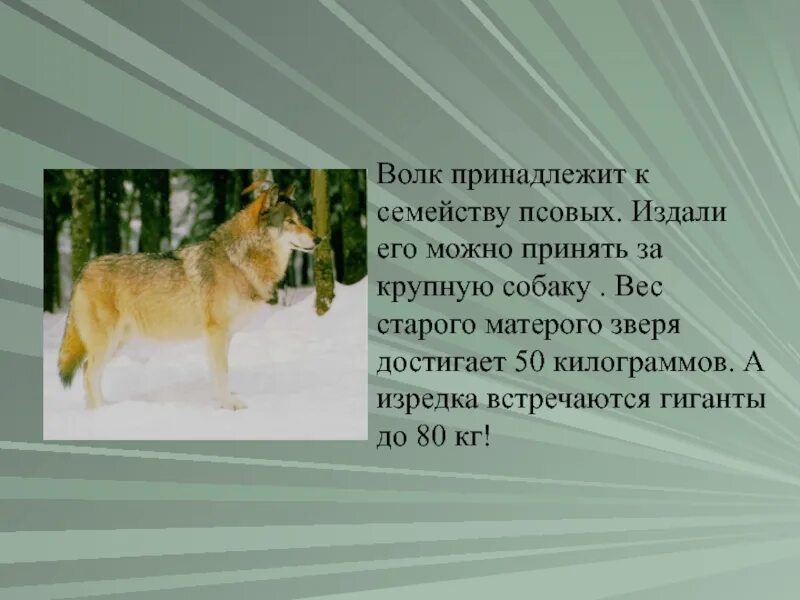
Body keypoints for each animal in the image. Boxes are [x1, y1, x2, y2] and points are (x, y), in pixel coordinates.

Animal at [57, 182, 318, 410]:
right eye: (290, 222)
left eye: (302, 221)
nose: (319, 239)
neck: (238, 260)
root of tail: (83, 270)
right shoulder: (216, 332)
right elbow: (222, 373)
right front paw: (229, 405)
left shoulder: (221, 337)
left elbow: (216, 374)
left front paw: (221, 402)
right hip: (107, 342)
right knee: (89, 374)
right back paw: (102, 412)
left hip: (116, 343)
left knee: (89, 373)